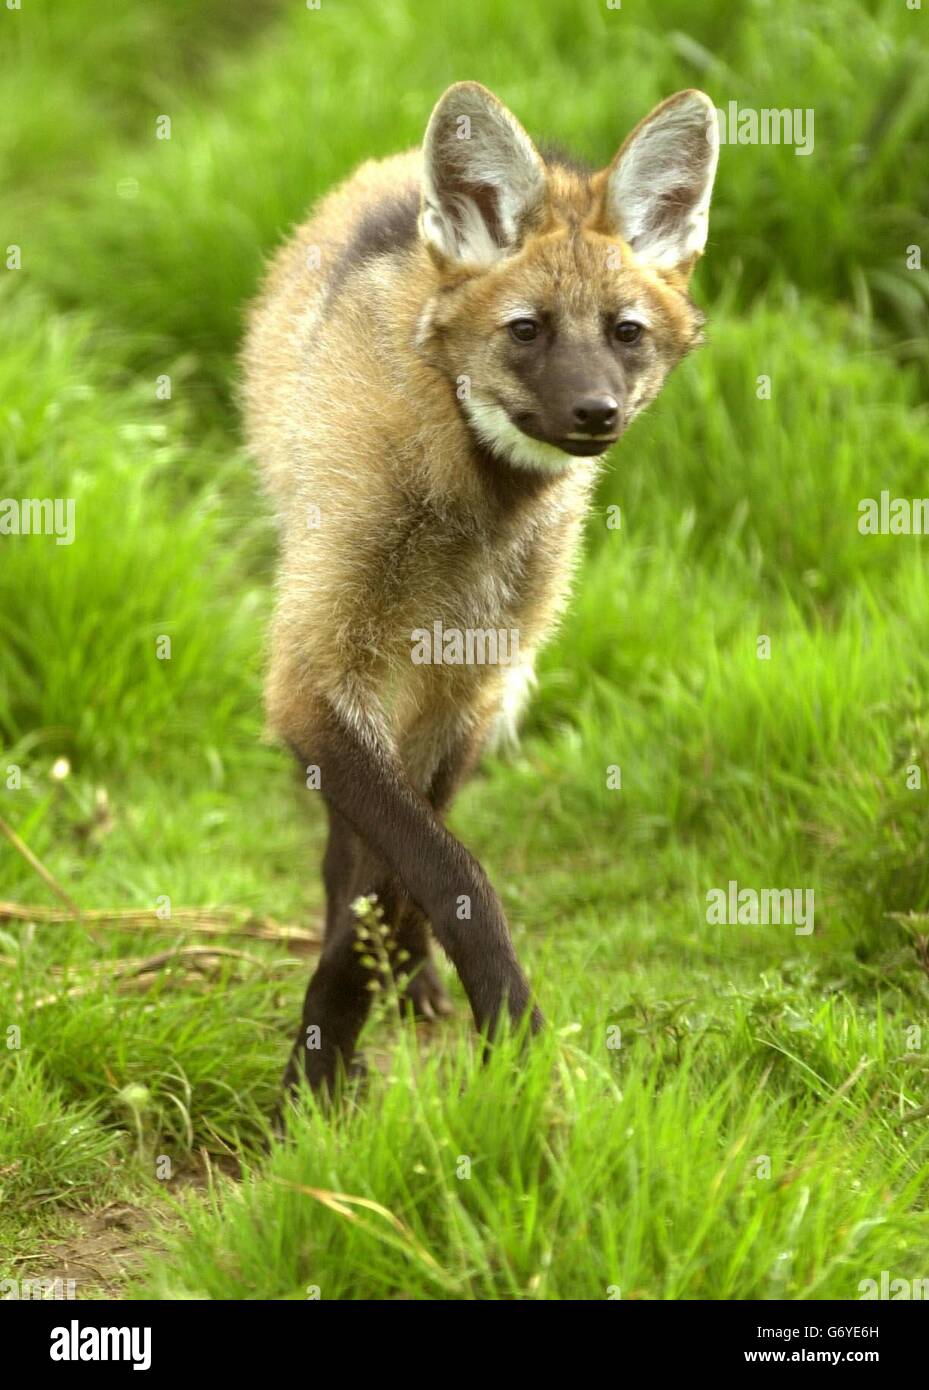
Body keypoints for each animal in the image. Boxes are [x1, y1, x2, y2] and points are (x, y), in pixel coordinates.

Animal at [241, 81, 717, 1095]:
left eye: (624, 333)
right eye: (526, 329)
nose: (595, 413)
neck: (468, 497)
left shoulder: (468, 687)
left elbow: (409, 873)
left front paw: (350, 1025)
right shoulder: (315, 674)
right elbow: (444, 870)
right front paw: (326, 1068)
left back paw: (409, 980)